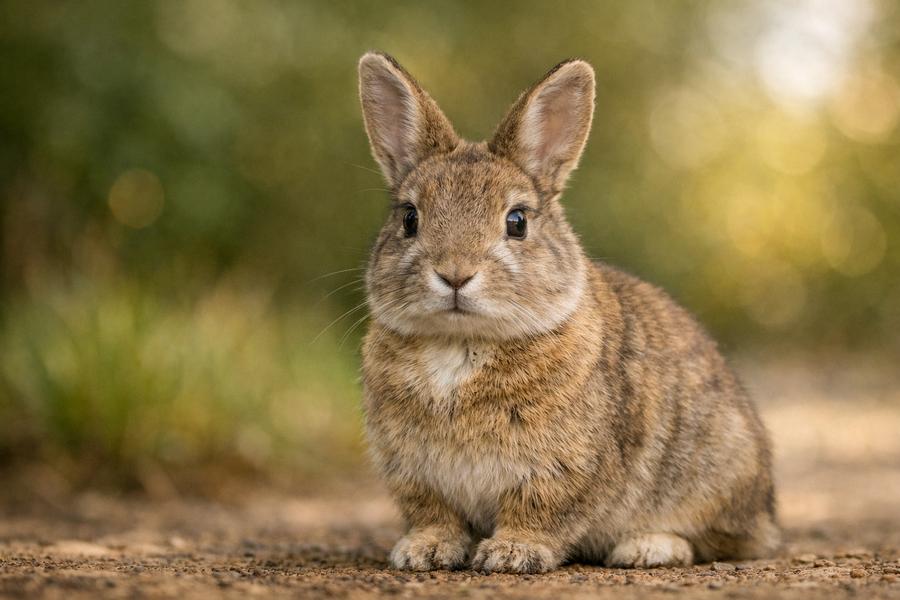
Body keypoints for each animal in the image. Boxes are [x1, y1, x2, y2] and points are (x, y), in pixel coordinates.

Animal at [357, 51, 779, 574]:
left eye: (517, 222)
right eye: (410, 218)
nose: (455, 274)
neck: (461, 343)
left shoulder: (560, 469)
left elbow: (540, 510)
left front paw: (513, 553)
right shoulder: (415, 474)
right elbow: (434, 514)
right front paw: (425, 550)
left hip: (711, 470)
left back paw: (647, 548)